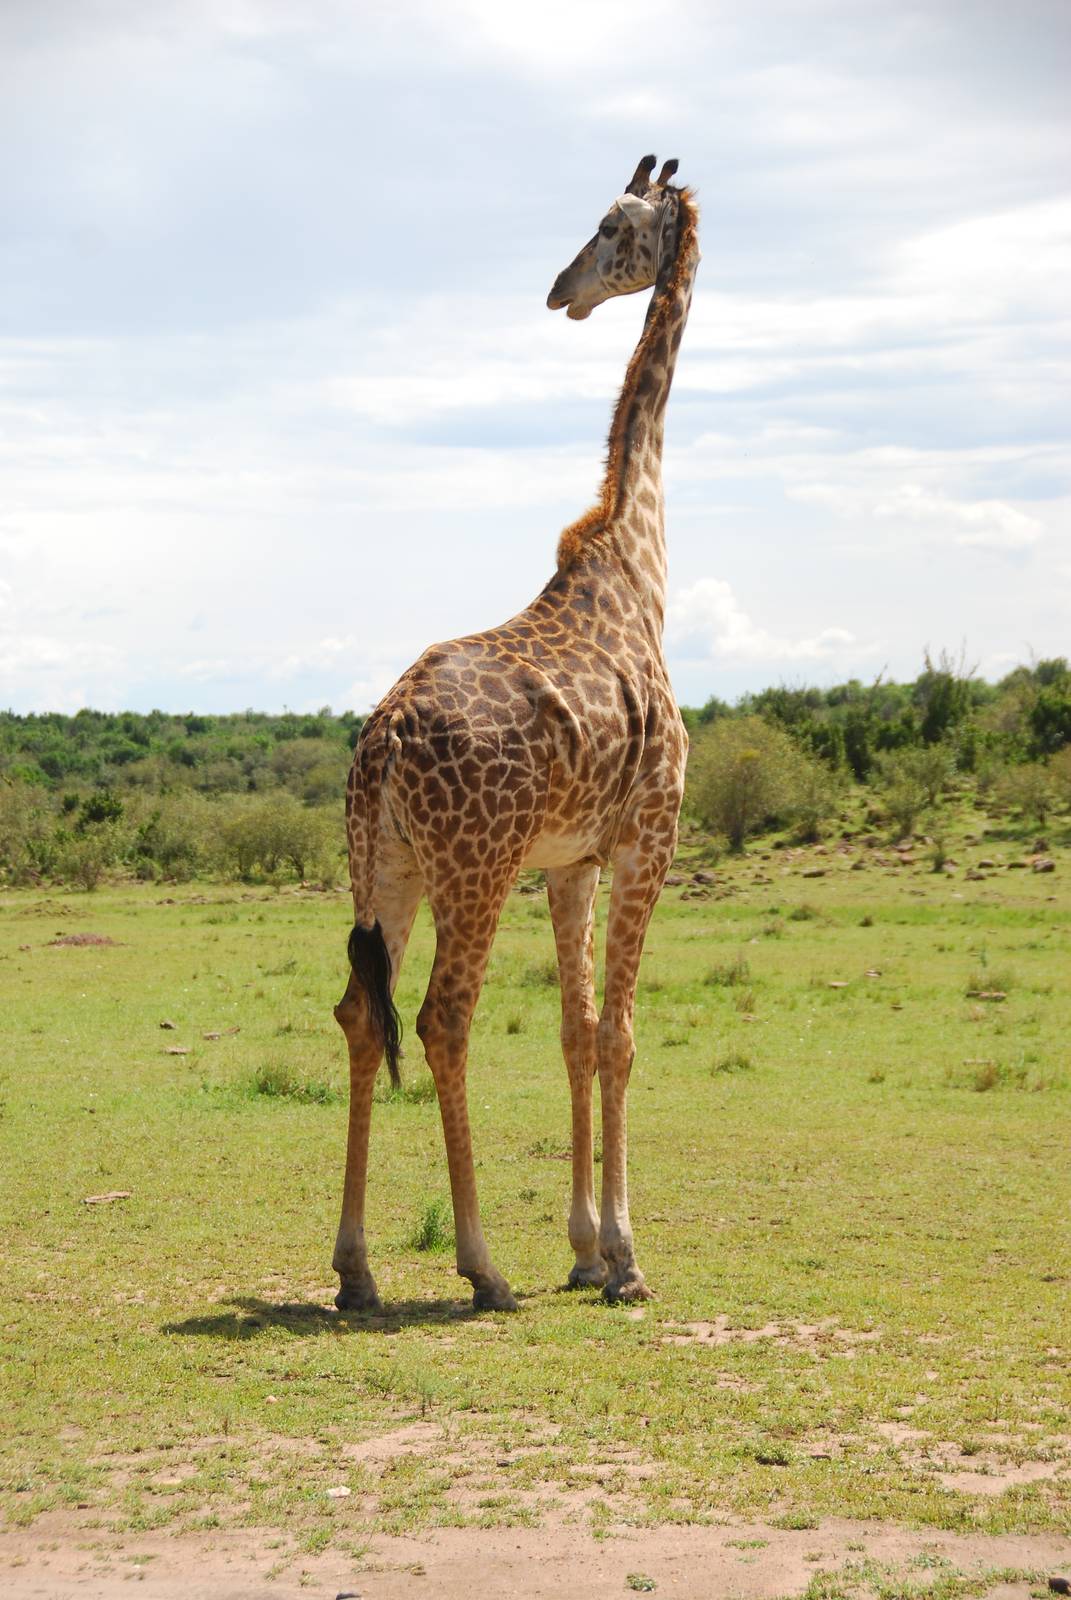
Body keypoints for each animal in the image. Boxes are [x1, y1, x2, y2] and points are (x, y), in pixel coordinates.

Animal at [332, 154, 700, 1313]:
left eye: (615, 225)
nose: (560, 290)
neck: (640, 563)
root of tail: (383, 739)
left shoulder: (570, 860)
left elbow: (576, 1032)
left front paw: (583, 1249)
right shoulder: (647, 838)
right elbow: (621, 1034)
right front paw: (625, 1257)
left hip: (386, 864)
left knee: (360, 1012)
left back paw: (355, 1269)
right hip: (473, 865)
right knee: (440, 1019)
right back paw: (481, 1264)